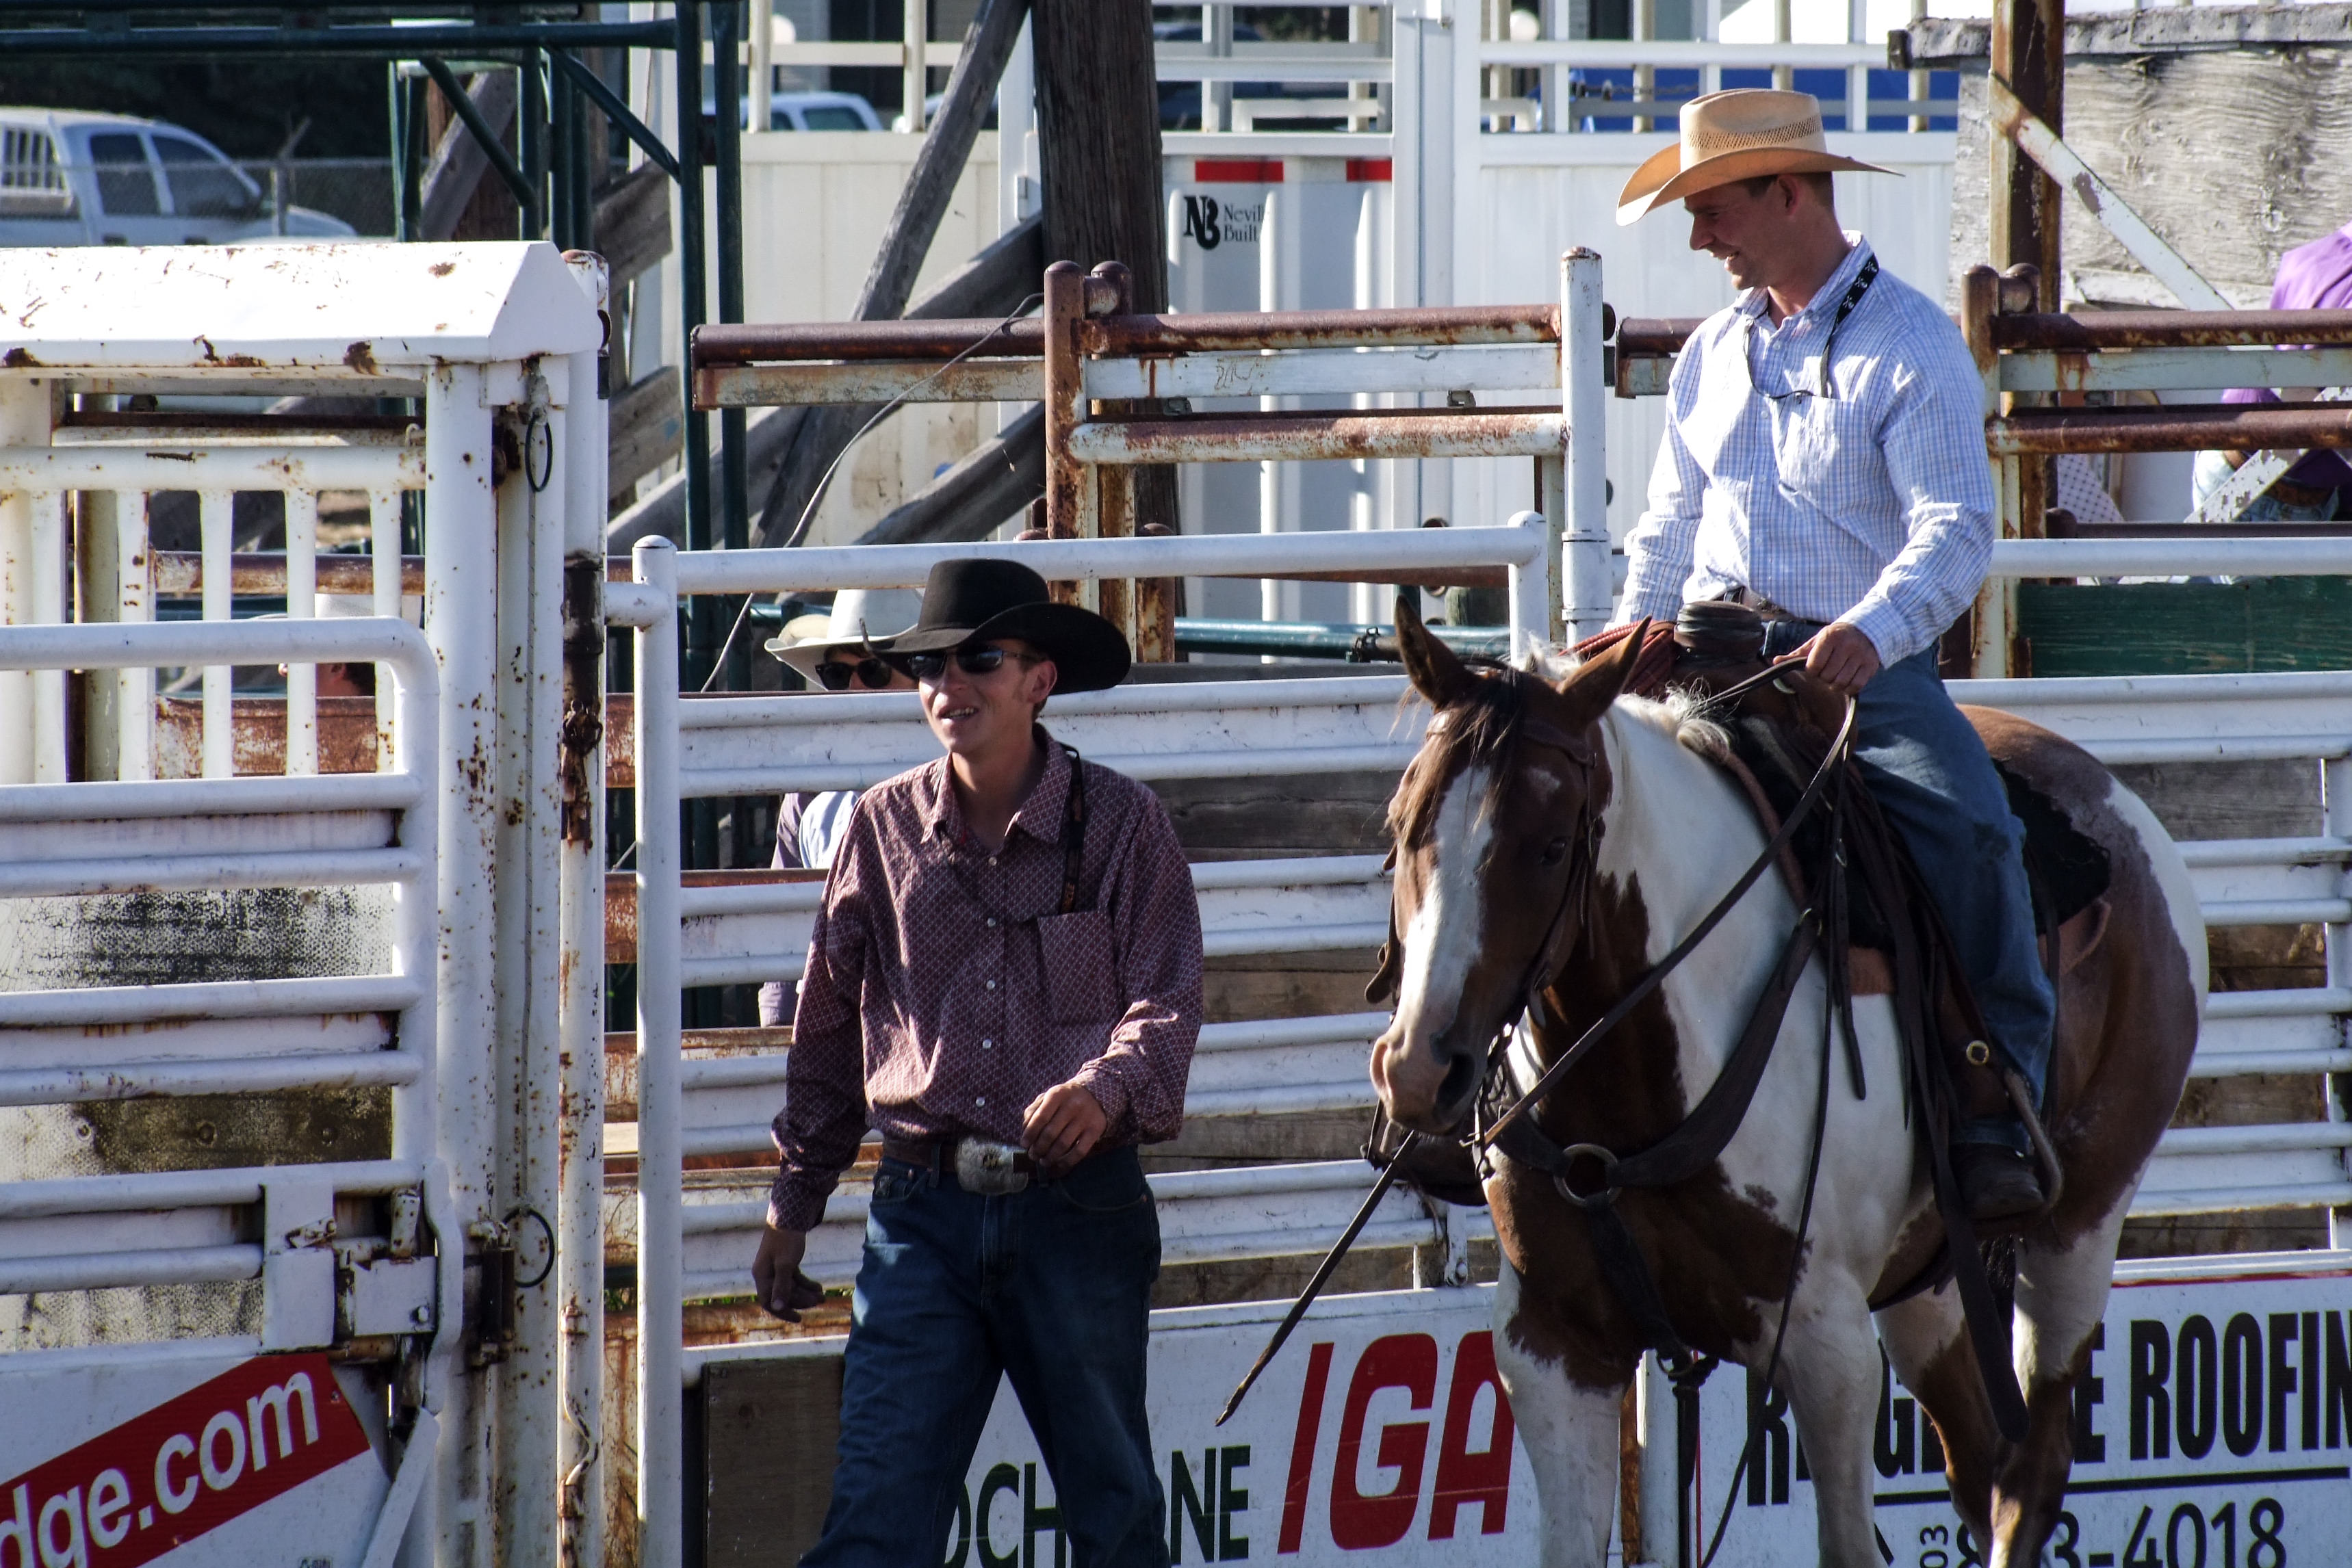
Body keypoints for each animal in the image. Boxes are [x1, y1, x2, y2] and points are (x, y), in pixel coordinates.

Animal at [1367, 606, 2205, 1568]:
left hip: (2081, 1223)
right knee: (1979, 1460)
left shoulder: (1825, 1344)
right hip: (1928, 1278)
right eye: (1399, 828)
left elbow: (1847, 1544)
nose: (1418, 1069)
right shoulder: (1551, 1345)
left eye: (1548, 849)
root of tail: (2115, 803)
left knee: (2030, 1467)